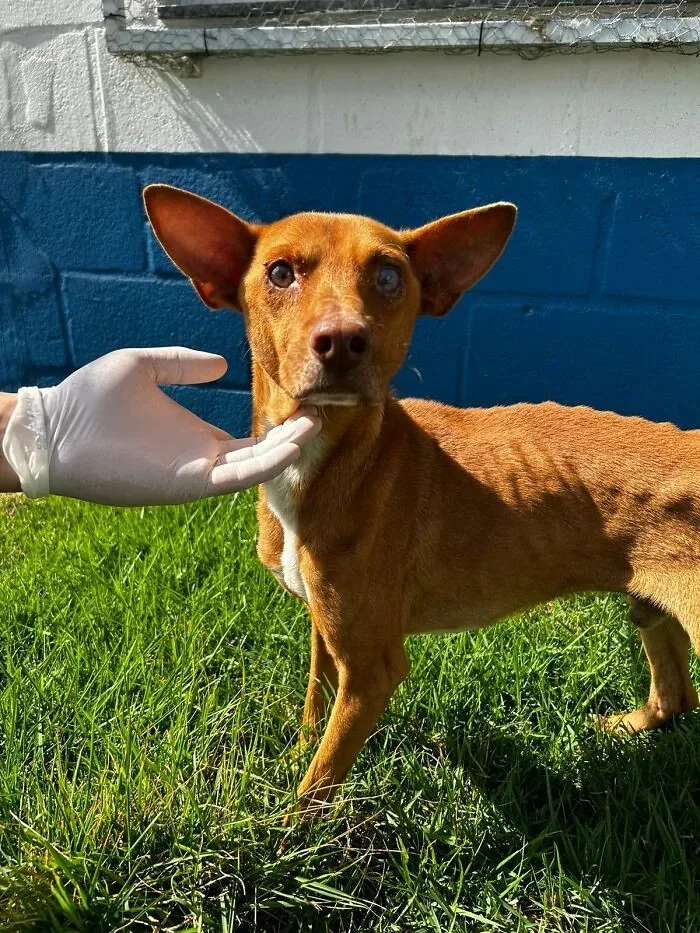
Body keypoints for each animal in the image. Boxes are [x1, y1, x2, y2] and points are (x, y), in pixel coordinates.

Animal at [144, 186, 700, 820]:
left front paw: (285, 830)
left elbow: (319, 783)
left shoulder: (372, 669)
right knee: (677, 696)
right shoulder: (324, 626)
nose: (343, 341)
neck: (334, 458)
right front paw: (297, 749)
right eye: (280, 272)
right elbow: (314, 705)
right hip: (649, 606)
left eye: (389, 276)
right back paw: (629, 726)